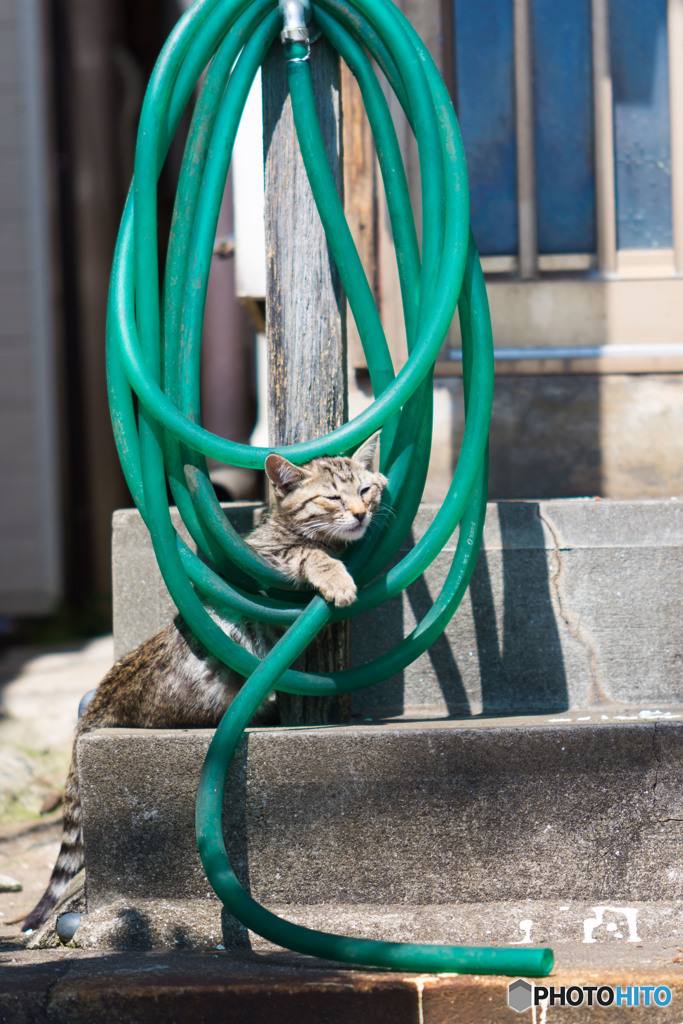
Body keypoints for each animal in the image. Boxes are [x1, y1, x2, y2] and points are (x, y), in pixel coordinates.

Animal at [21, 436, 385, 933]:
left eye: (366, 490)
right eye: (331, 497)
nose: (361, 514)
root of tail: (106, 692)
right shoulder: (265, 564)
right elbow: (308, 553)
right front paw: (336, 576)